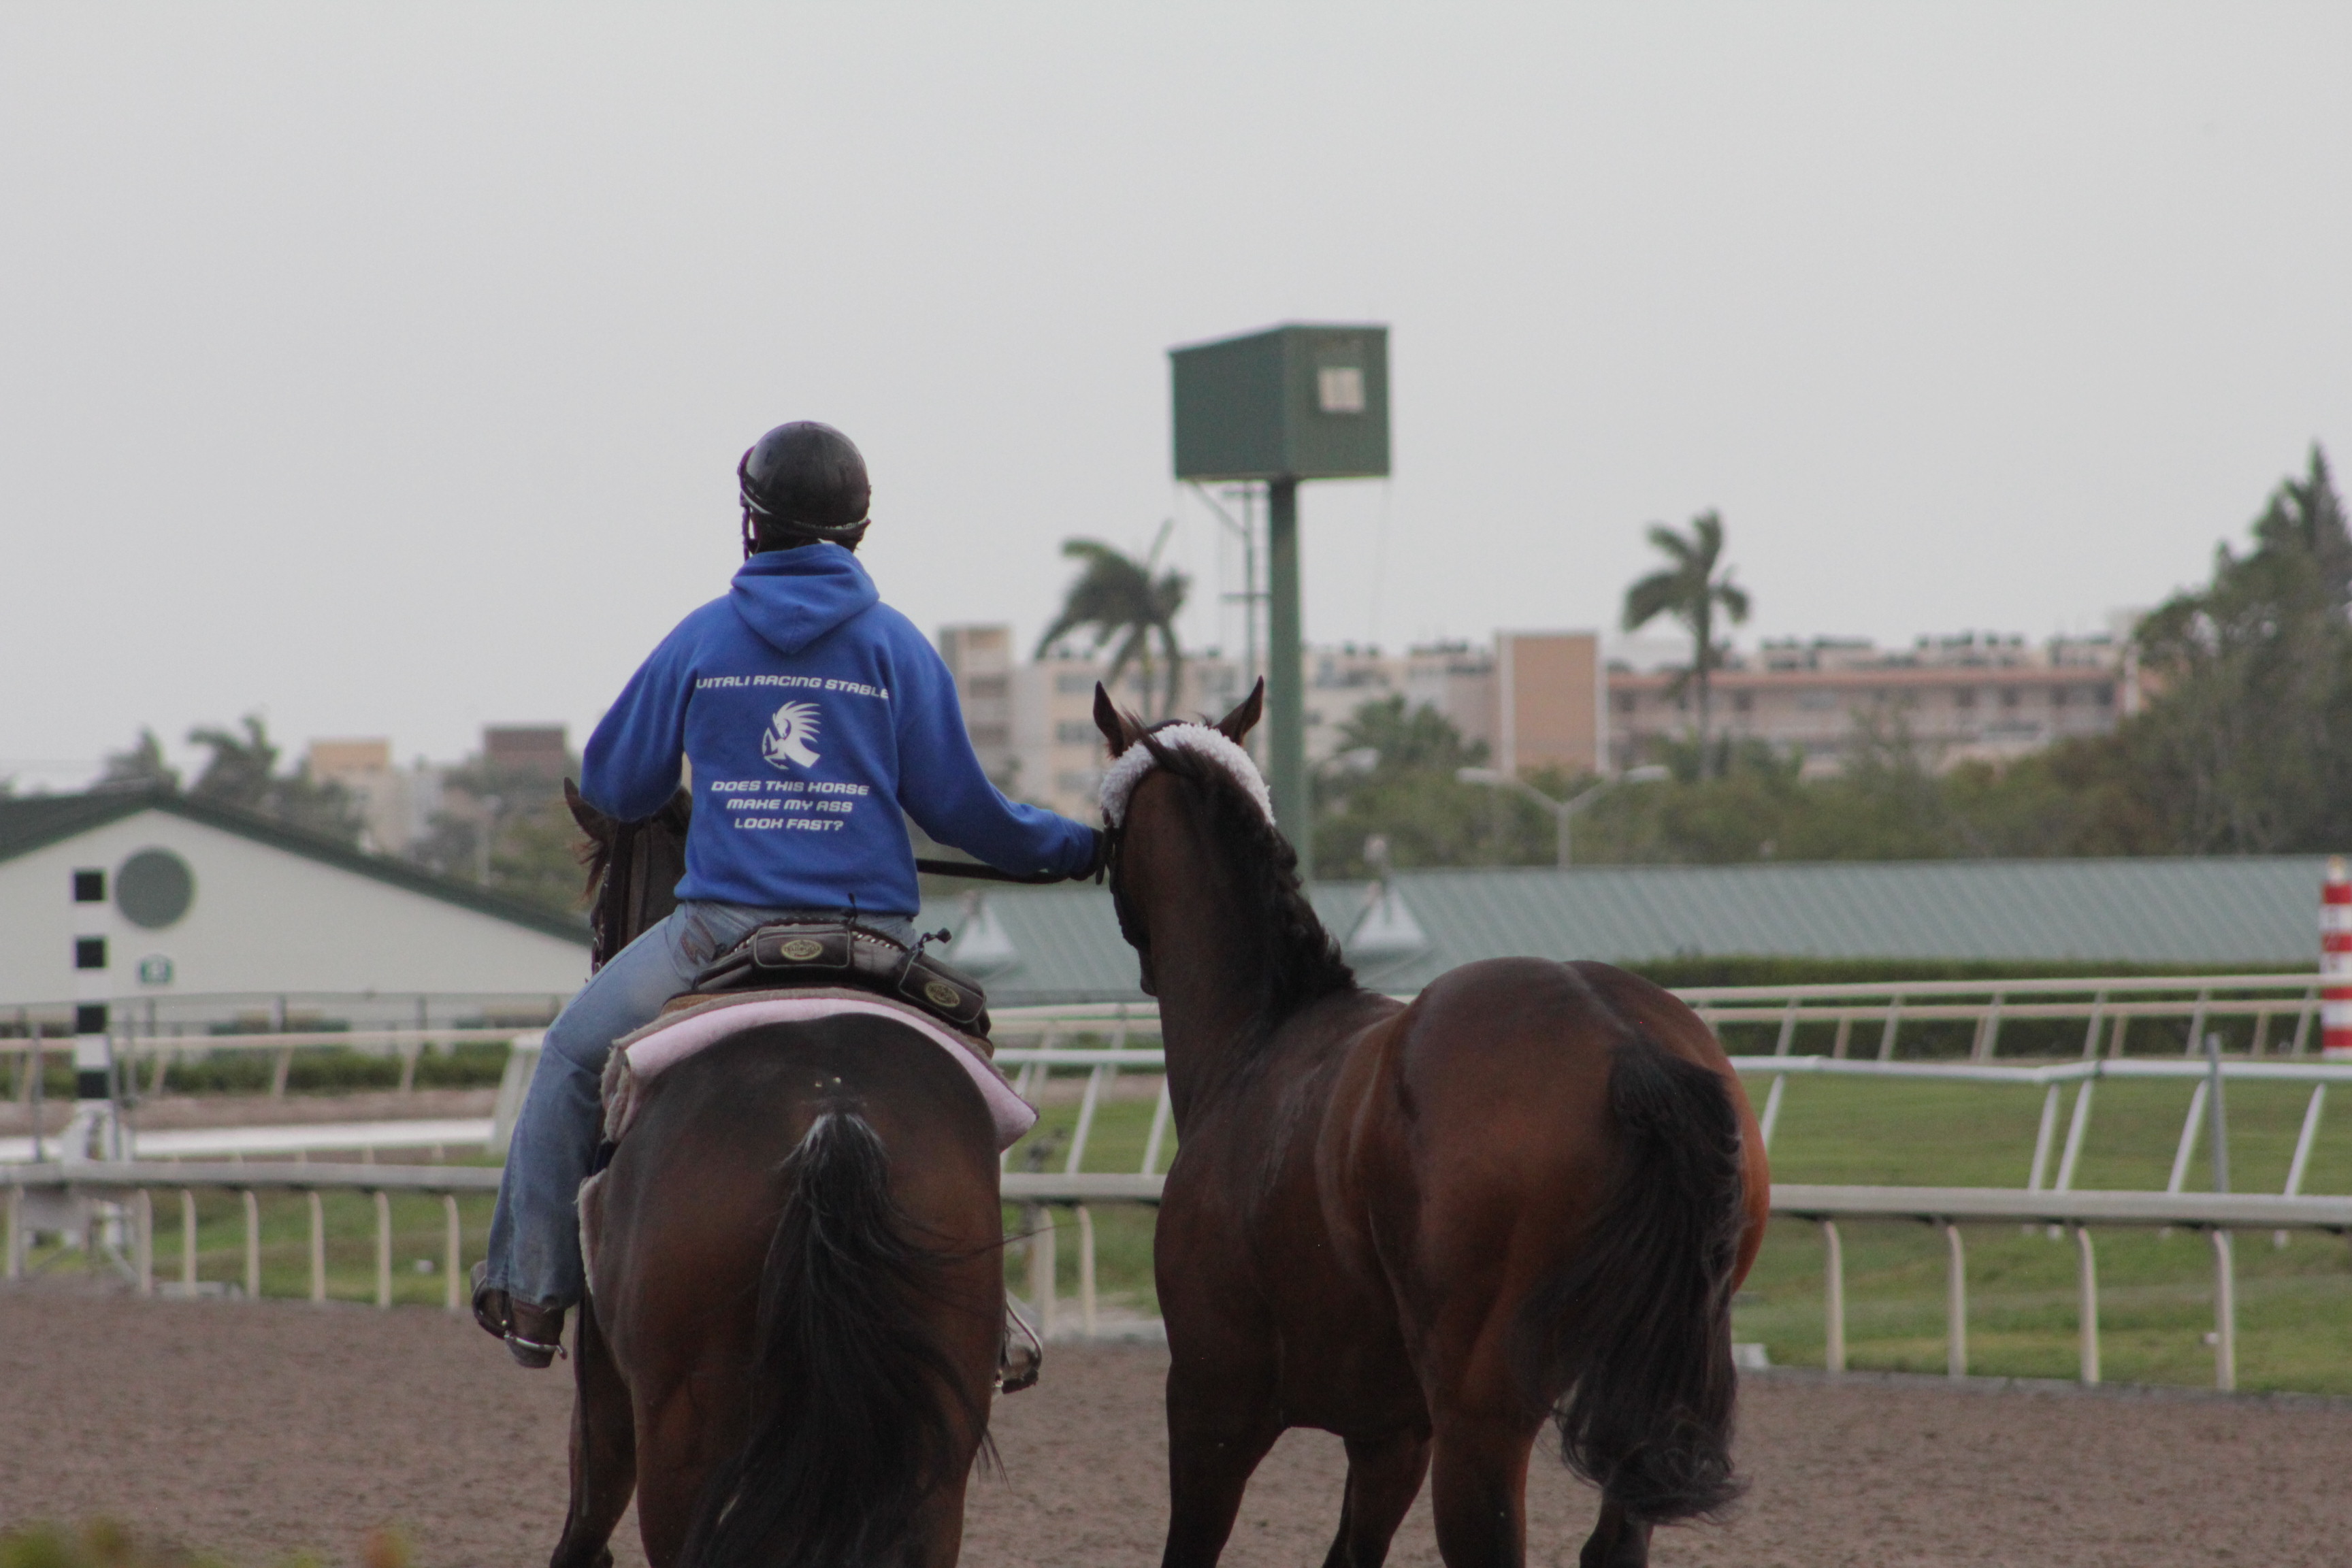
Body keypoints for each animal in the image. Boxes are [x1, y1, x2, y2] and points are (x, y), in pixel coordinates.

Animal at [546, 787, 1010, 1568]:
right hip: (937, 1439)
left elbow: (586, 1511)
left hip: (683, 1437)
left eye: (600, 902)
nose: (596, 953)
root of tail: (833, 1110)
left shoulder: (606, 1382)